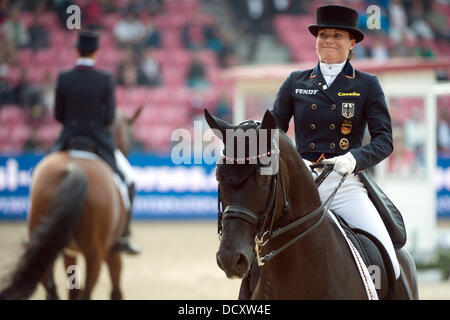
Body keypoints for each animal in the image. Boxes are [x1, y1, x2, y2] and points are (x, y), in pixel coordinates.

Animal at [0, 107, 142, 300]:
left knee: (52, 289)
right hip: (94, 254)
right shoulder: (112, 252)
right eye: (129, 136)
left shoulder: (69, 252)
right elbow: (115, 291)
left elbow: (73, 289)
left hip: (46, 246)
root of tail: (73, 168)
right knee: (86, 292)